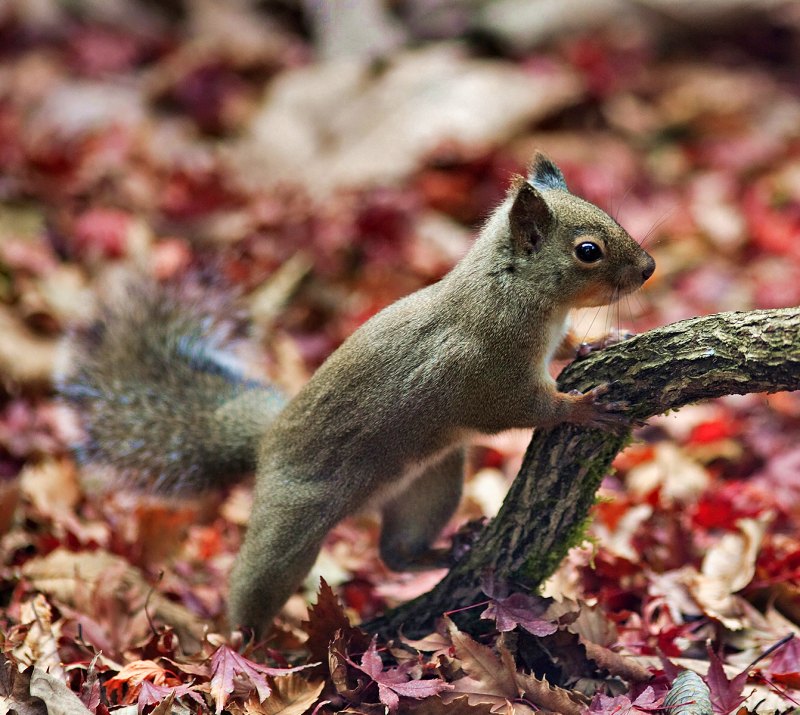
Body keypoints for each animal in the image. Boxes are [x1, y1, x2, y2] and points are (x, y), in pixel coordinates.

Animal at [57, 154, 656, 636]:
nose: (649, 268)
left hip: (430, 483)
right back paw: (247, 649)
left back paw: (450, 548)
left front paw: (601, 341)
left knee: (396, 553)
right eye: (587, 250)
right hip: (291, 524)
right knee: (255, 582)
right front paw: (582, 407)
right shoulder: (486, 374)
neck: (512, 291)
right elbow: (520, 409)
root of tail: (266, 443)